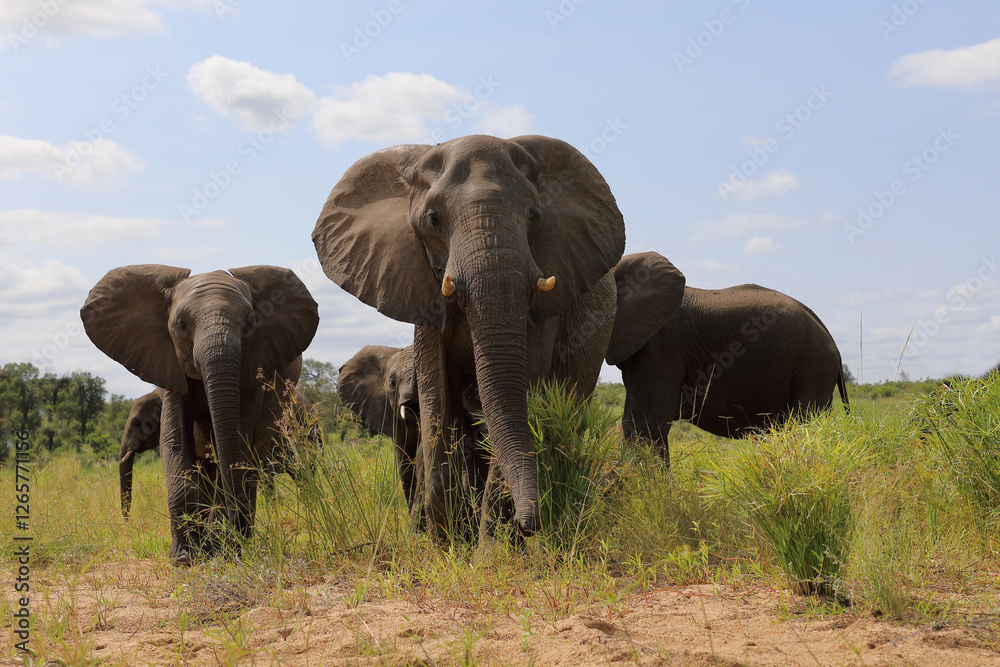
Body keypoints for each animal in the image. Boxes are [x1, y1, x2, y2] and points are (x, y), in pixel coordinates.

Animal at [82, 265, 319, 563]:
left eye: (251, 323)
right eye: (181, 325)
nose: (126, 523)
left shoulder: (255, 373)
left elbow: (237, 445)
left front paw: (221, 551)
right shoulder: (168, 370)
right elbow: (174, 443)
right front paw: (185, 557)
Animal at [313, 134, 625, 541]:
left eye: (535, 216)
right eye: (433, 220)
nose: (532, 524)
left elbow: (522, 391)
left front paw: (492, 548)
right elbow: (438, 400)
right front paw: (447, 544)